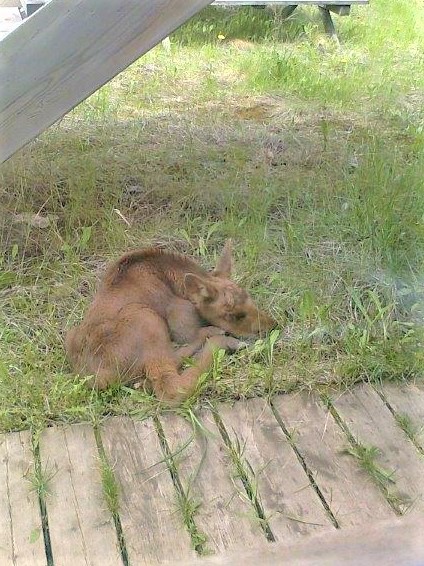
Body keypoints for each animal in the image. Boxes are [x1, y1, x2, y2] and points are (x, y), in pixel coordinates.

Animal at [64, 242, 274, 406]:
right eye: (234, 315)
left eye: (251, 300)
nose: (272, 325)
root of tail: (100, 378)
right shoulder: (180, 315)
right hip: (145, 317)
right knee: (170, 387)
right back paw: (223, 340)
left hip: (72, 333)